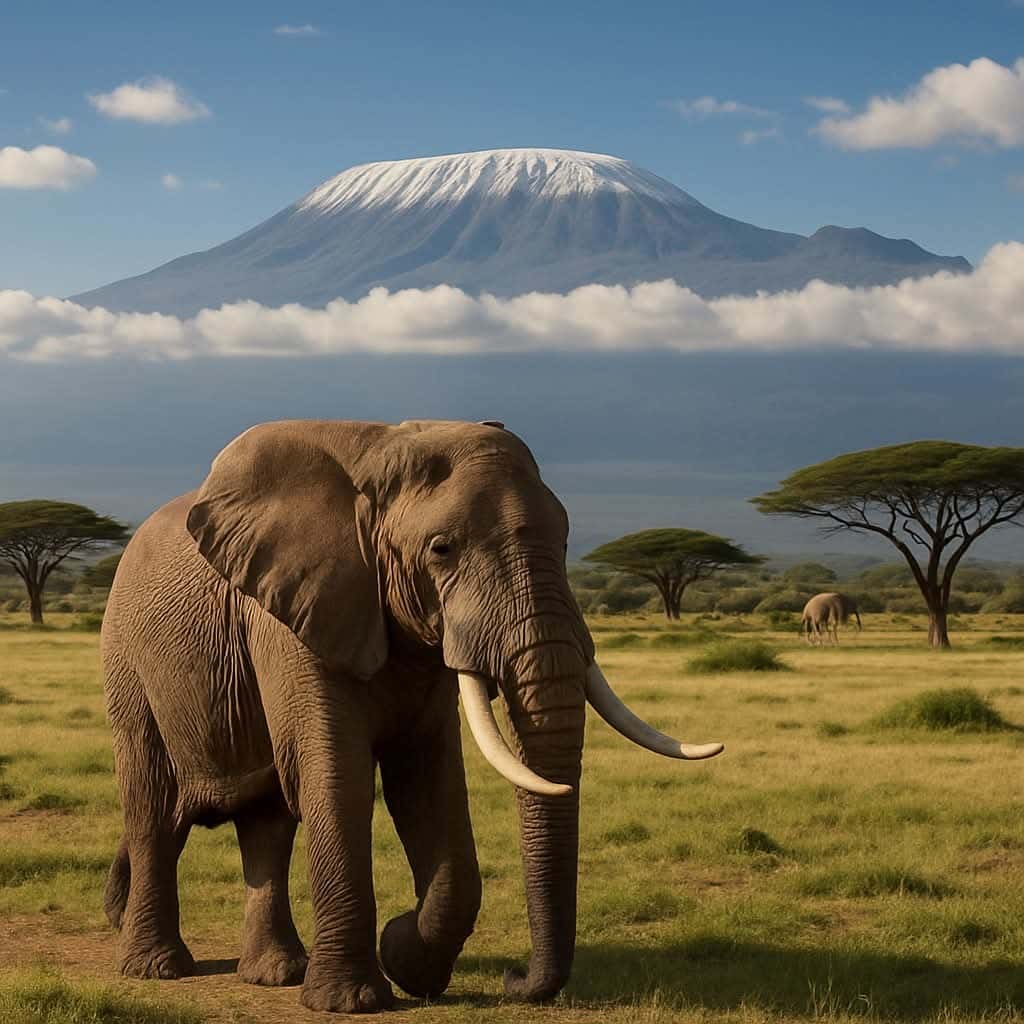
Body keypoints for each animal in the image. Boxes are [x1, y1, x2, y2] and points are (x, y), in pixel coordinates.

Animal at [101, 419, 723, 1014]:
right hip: (127, 664)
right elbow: (335, 776)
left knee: (267, 822)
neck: (381, 451)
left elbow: (428, 782)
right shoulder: (291, 614)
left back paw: (277, 974)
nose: (515, 977)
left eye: (567, 541)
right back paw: (158, 969)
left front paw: (406, 960)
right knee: (154, 806)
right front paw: (354, 1002)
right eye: (442, 549)